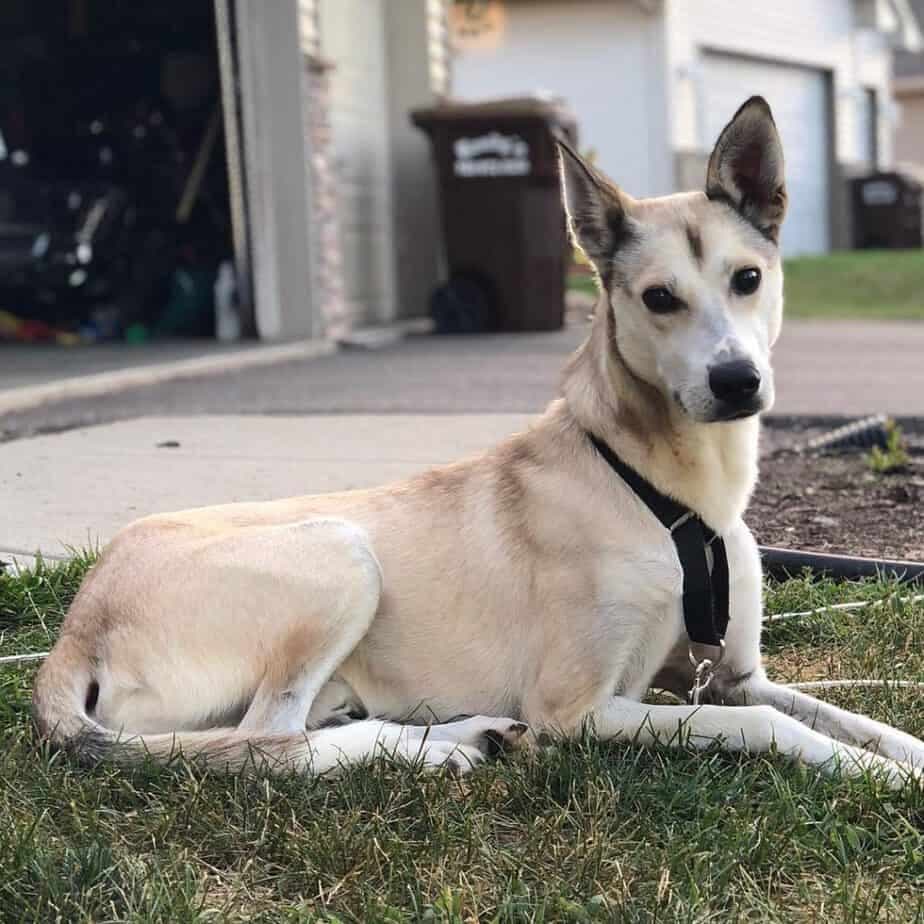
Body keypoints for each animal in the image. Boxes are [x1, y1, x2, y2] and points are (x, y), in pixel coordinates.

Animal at [32, 95, 920, 788]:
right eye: (659, 298)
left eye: (748, 279)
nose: (737, 382)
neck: (665, 489)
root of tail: (77, 623)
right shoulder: (578, 708)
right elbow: (770, 727)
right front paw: (873, 774)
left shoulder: (731, 677)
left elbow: (852, 716)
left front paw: (897, 752)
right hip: (341, 550)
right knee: (267, 741)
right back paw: (438, 747)